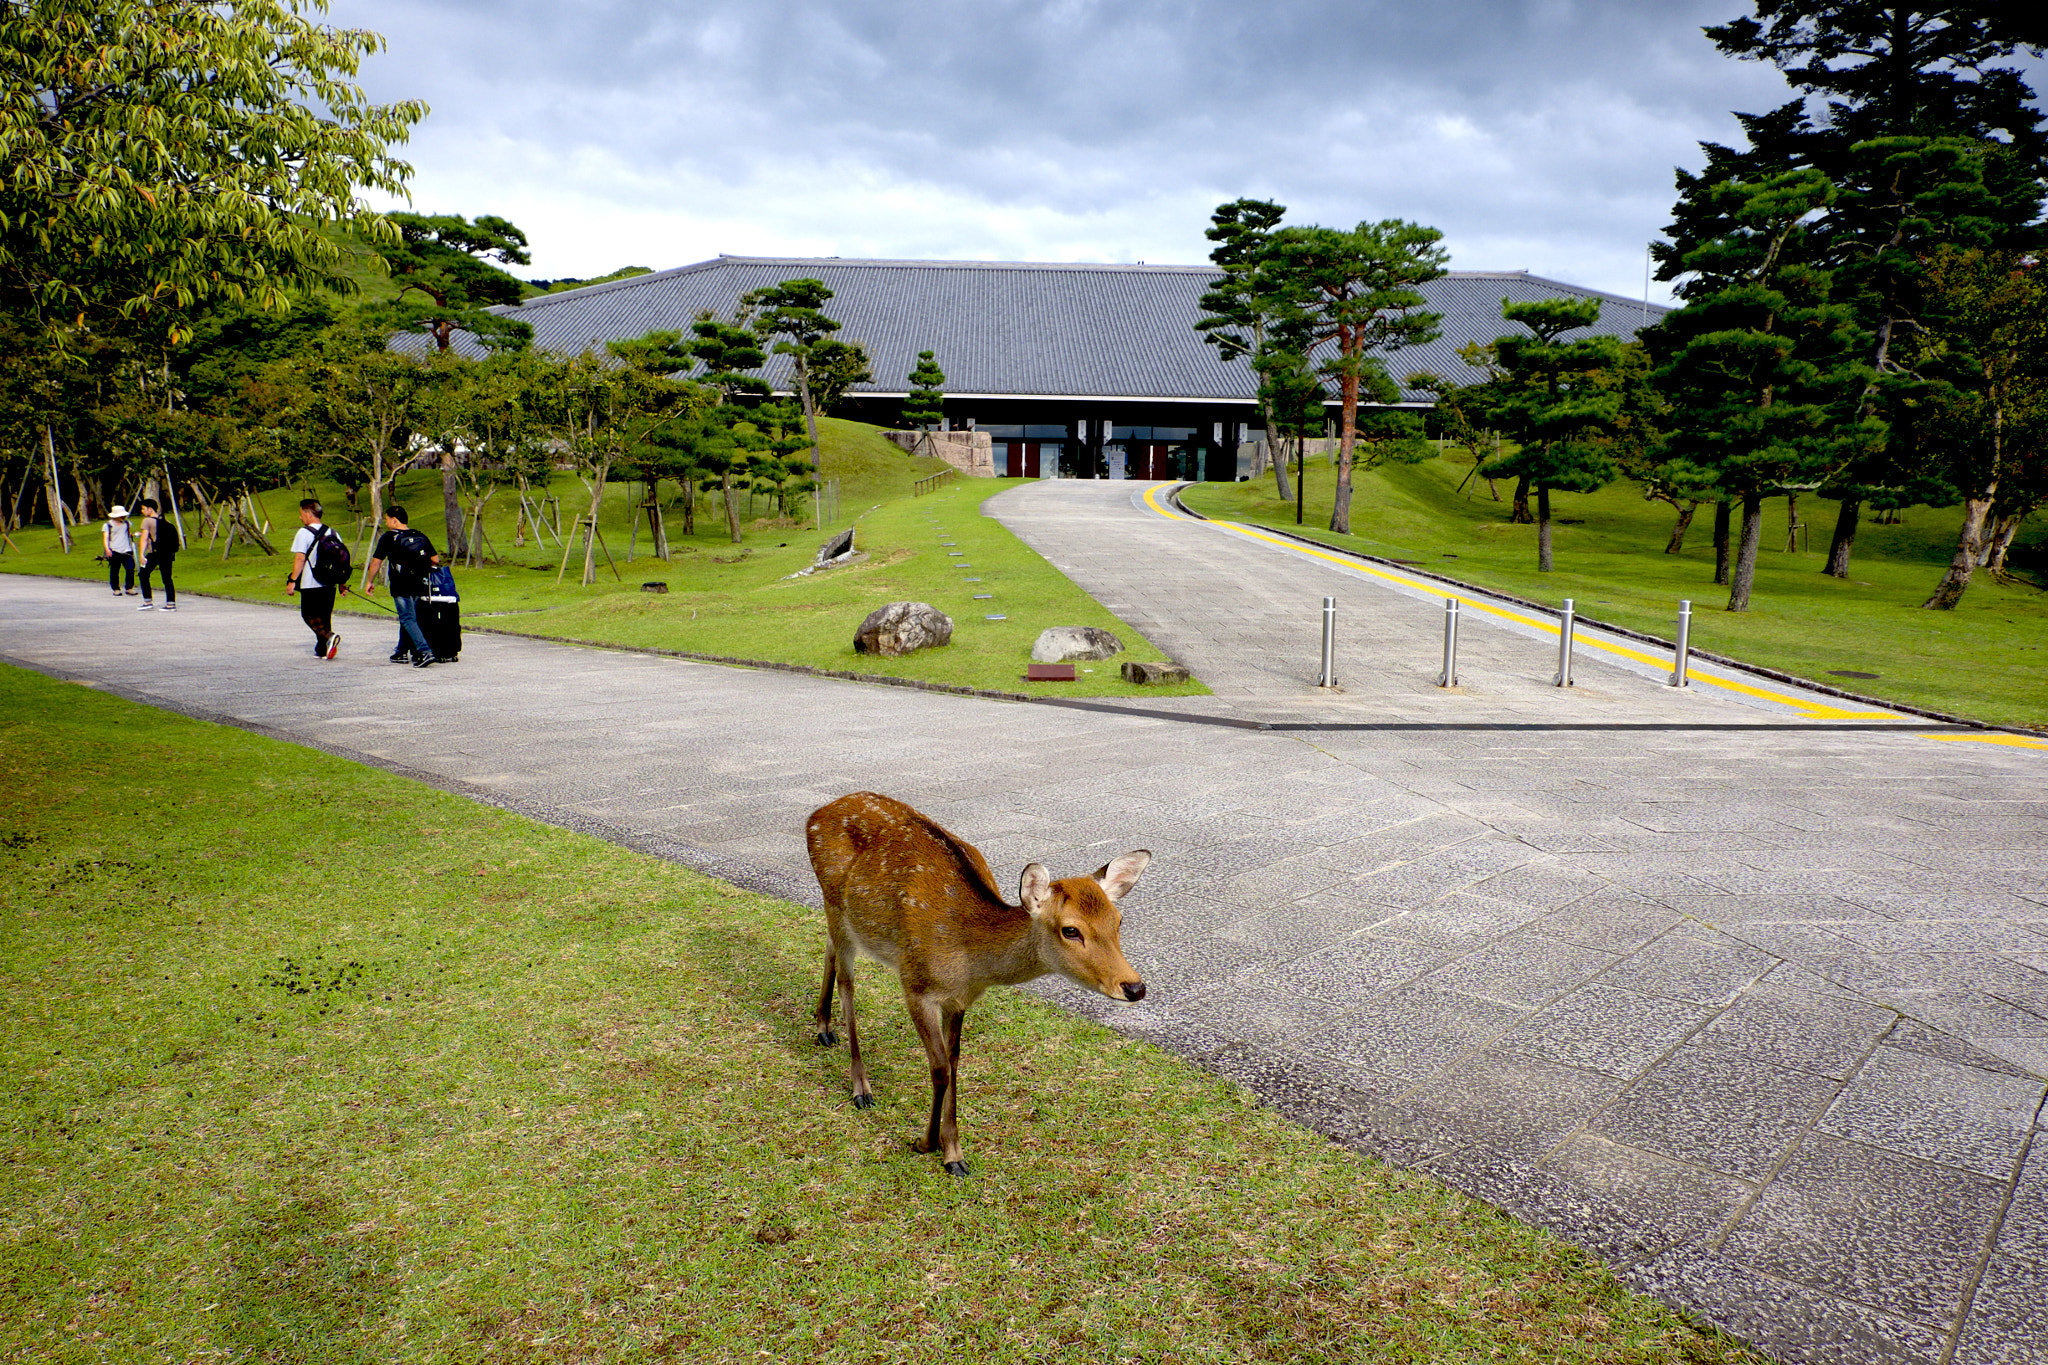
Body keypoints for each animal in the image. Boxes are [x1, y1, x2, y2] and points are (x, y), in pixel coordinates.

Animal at [802, 794, 1155, 1178]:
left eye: (1118, 920)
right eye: (1071, 930)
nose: (1134, 988)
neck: (971, 964)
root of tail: (816, 814)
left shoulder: (959, 1000)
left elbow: (955, 1062)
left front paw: (954, 1153)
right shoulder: (915, 984)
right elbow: (940, 1068)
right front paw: (925, 1144)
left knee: (828, 948)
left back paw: (824, 1028)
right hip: (835, 903)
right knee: (848, 983)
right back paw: (861, 1087)